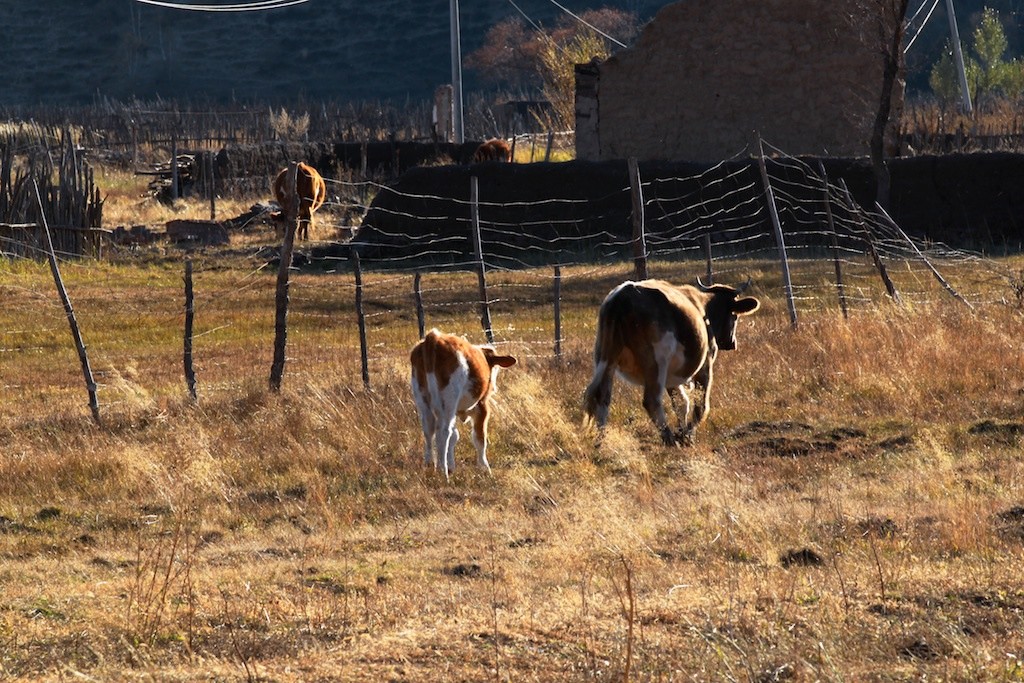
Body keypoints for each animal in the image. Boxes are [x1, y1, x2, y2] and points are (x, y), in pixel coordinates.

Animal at [409, 327, 516, 479]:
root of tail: (434, 338)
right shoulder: (481, 406)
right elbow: (479, 438)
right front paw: (484, 468)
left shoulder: (455, 411)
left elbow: (455, 436)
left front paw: (451, 466)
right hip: (448, 401)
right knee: (443, 432)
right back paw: (443, 472)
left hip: (423, 399)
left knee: (429, 430)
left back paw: (429, 466)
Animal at [585, 278, 761, 446]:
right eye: (735, 316)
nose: (732, 343)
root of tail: (623, 296)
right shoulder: (705, 365)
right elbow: (700, 406)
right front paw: (688, 435)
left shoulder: (672, 377)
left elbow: (681, 403)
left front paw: (683, 433)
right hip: (657, 361)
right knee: (651, 400)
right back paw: (668, 438)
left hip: (606, 357)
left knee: (602, 395)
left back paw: (601, 441)